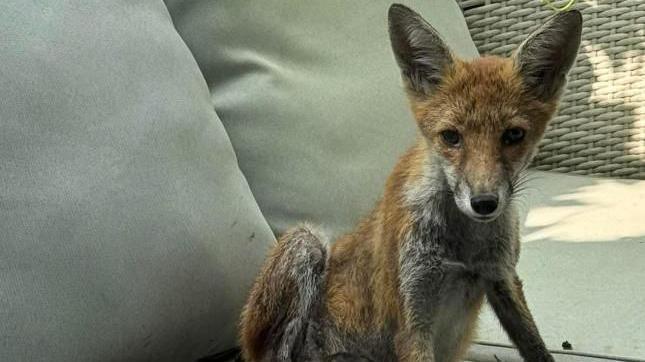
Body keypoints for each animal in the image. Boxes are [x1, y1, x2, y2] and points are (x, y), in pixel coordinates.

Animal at [239, 3, 580, 362]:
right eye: (451, 137)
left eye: (513, 135)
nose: (484, 203)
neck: (462, 247)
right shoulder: (412, 318)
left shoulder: (501, 277)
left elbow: (535, 345)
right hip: (305, 243)